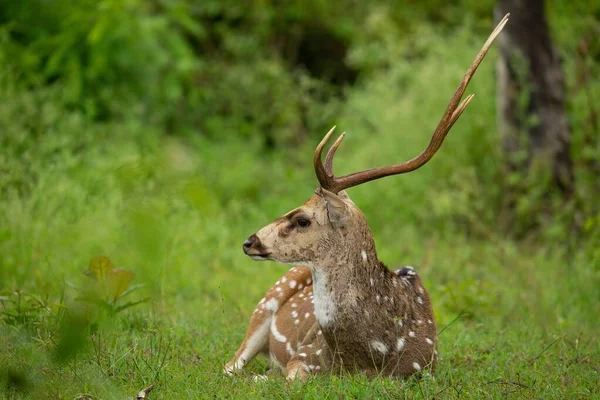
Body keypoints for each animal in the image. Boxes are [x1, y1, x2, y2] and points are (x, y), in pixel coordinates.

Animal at [226, 14, 510, 380]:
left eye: (302, 219)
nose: (249, 241)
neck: (366, 357)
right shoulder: (304, 356)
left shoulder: (421, 368)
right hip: (265, 303)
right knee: (230, 366)